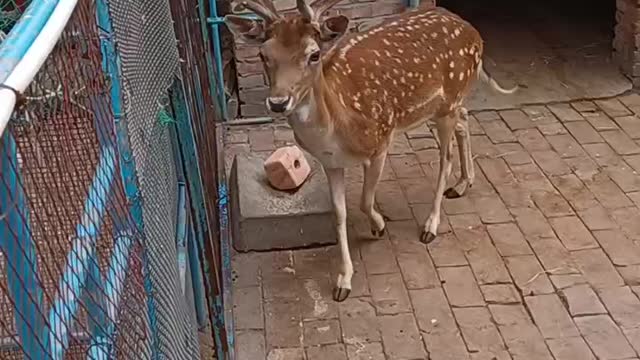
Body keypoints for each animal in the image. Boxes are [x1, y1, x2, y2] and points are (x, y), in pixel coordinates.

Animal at [228, 0, 516, 302]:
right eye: (263, 54)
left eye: (314, 54)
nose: (278, 102)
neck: (337, 127)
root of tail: (474, 33)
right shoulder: (330, 163)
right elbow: (339, 213)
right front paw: (343, 281)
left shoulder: (381, 140)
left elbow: (365, 200)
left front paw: (379, 227)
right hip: (444, 107)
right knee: (465, 118)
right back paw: (463, 183)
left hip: (449, 100)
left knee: (445, 157)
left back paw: (431, 225)